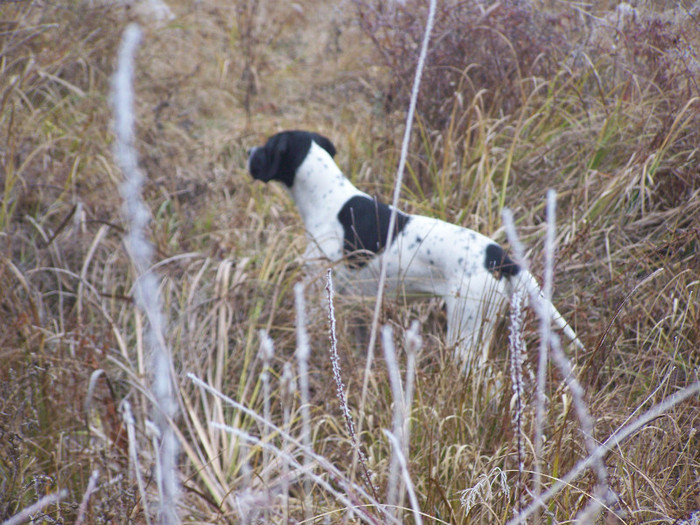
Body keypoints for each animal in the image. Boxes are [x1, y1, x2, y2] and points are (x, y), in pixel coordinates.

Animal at [247, 129, 584, 366]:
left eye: (266, 146)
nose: (248, 151)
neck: (327, 196)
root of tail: (498, 255)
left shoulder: (319, 295)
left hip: (465, 331)